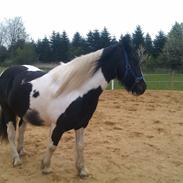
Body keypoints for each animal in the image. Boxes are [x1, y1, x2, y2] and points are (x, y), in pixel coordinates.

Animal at [0, 40, 146, 177]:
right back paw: (16, 159)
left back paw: (21, 151)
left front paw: (82, 170)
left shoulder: (81, 124)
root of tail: (7, 71)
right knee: (11, 133)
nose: (142, 88)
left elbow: (80, 146)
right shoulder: (57, 126)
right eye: (133, 60)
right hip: (8, 110)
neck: (75, 92)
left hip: (24, 112)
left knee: (22, 129)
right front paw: (46, 167)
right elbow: (52, 145)